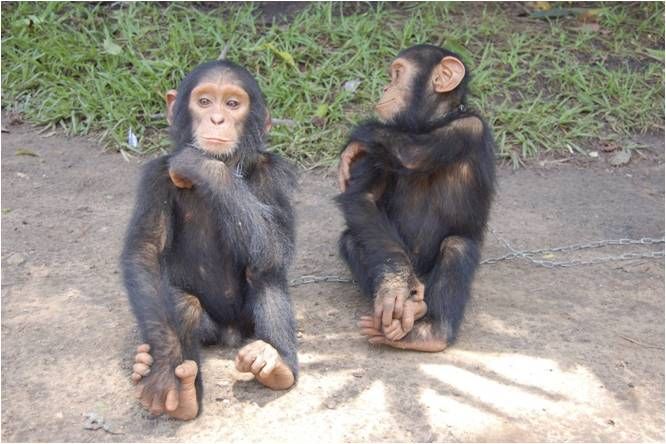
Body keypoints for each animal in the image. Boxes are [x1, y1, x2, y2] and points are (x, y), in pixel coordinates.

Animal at [121, 59, 296, 420]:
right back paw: (175, 388)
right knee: (183, 304)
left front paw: (202, 166)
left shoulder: (274, 174)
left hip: (245, 323)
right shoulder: (154, 177)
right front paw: (165, 371)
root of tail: (229, 334)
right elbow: (144, 251)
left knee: (265, 272)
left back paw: (276, 365)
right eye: (204, 102)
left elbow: (277, 246)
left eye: (232, 104)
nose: (217, 119)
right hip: (209, 328)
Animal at [338, 43, 492, 352]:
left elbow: (411, 154)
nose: (386, 87)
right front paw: (394, 287)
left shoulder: (468, 128)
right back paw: (407, 308)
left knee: (457, 246)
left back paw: (429, 332)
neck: (429, 123)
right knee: (352, 239)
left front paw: (355, 143)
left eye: (397, 74)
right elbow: (363, 198)